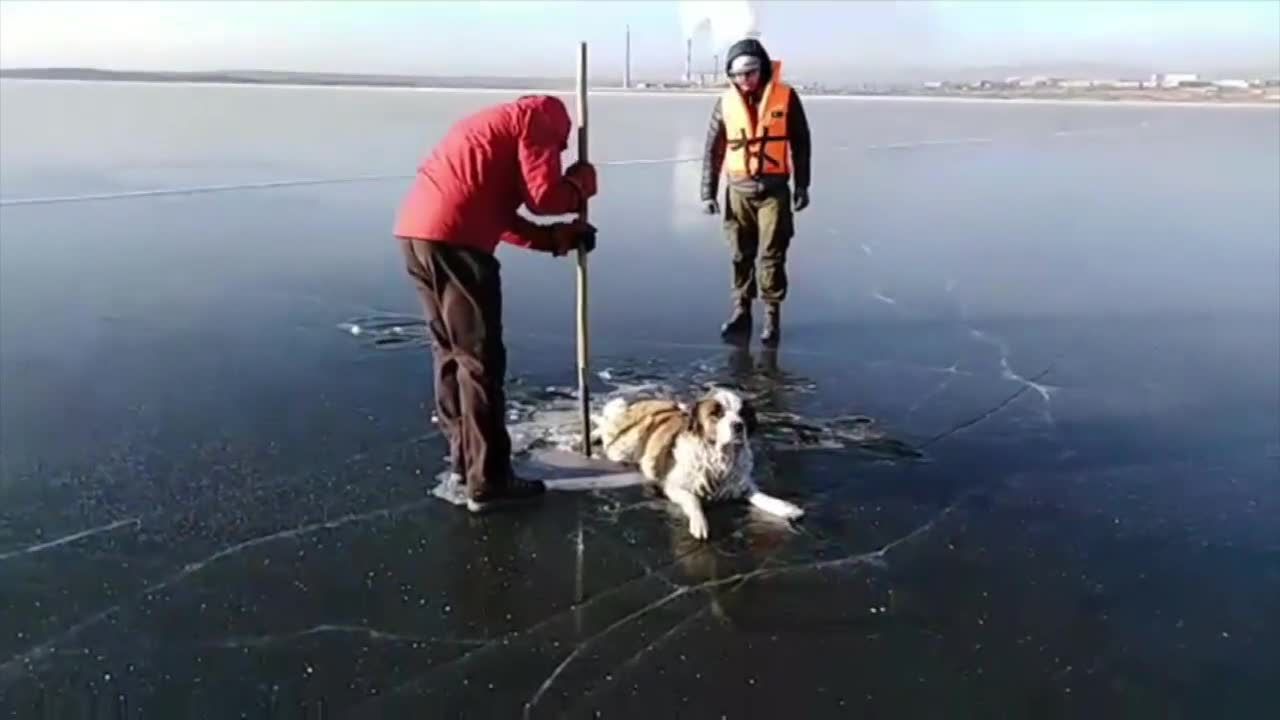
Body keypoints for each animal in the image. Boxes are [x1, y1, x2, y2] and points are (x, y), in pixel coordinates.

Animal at [596, 386, 798, 538]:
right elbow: (692, 499)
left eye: (742, 414)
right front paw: (700, 523)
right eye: (716, 414)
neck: (719, 457)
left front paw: (784, 507)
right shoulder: (672, 486)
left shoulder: (739, 483)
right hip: (625, 445)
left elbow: (759, 494)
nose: (738, 426)